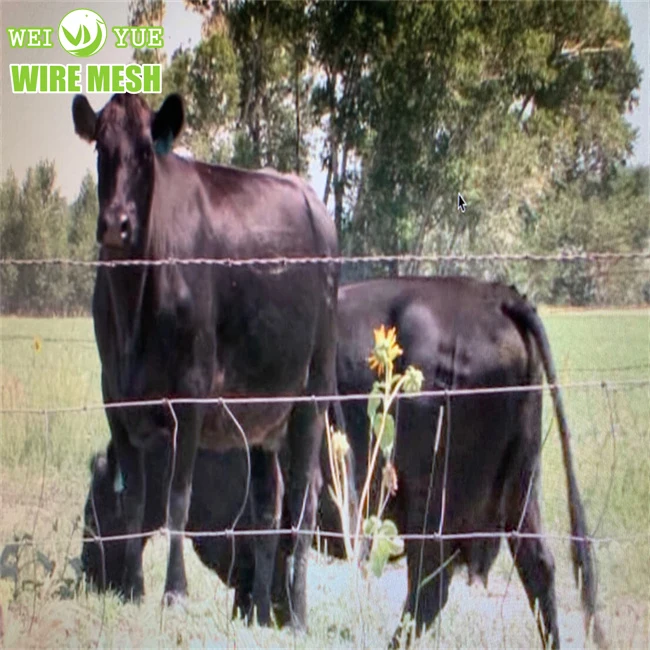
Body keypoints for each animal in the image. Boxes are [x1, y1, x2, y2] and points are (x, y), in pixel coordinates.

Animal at [71, 91, 338, 629]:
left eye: (147, 153)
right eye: (100, 150)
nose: (116, 224)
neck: (134, 303)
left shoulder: (190, 396)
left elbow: (178, 498)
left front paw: (174, 592)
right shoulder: (115, 398)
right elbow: (136, 497)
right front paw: (133, 589)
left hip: (311, 396)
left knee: (303, 502)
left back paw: (298, 615)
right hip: (261, 417)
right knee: (267, 507)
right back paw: (260, 613)